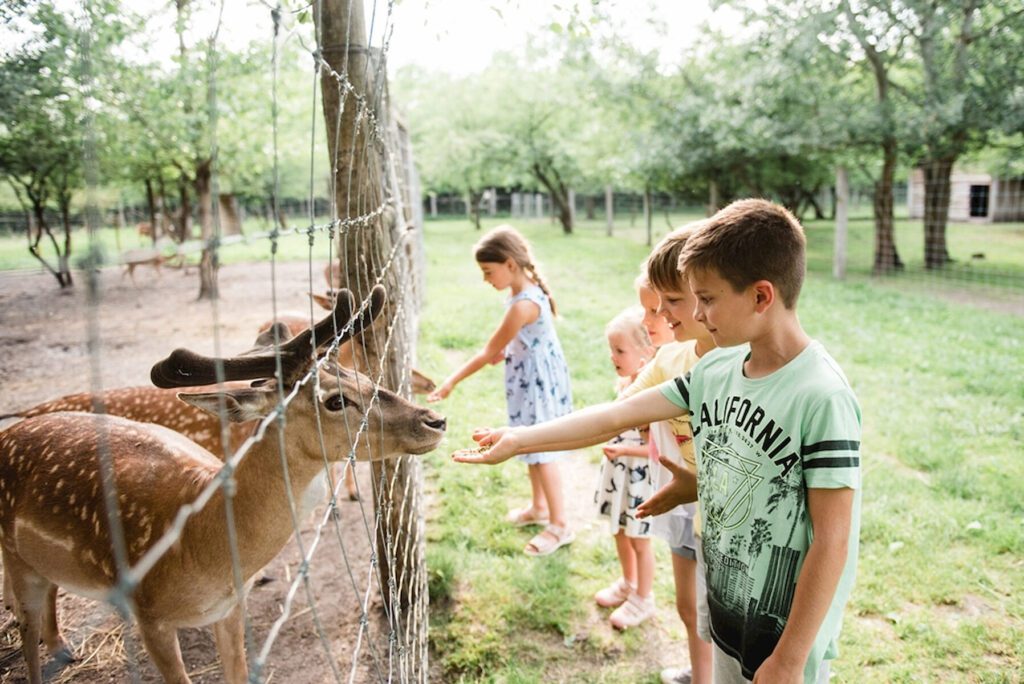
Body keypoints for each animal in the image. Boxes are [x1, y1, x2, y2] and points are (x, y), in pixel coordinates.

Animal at [0, 284, 448, 684]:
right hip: (15, 555)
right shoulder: (150, 617)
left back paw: (62, 647)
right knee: (25, 627)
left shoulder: (231, 609)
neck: (202, 547)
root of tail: (14, 426)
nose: (435, 420)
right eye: (335, 400)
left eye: (361, 375)